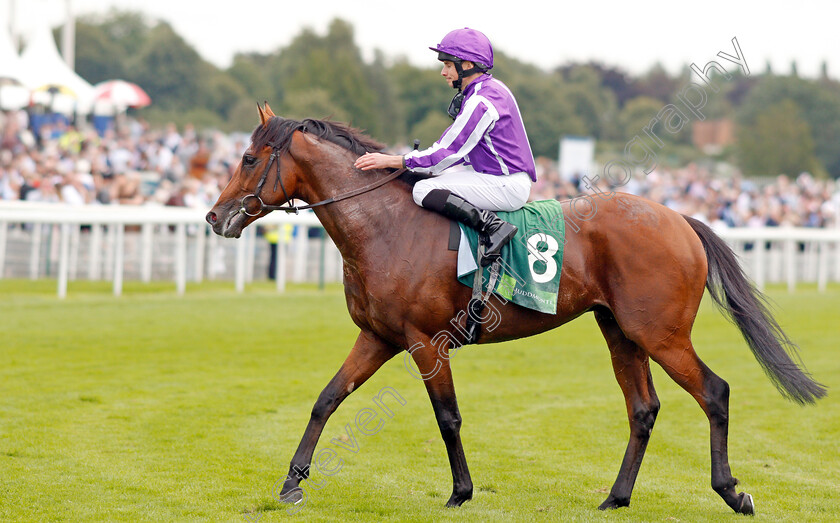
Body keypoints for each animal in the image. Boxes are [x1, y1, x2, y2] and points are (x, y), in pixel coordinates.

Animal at [207, 106, 824, 516]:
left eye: (249, 158)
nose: (215, 217)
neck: (385, 225)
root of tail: (679, 219)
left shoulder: (423, 341)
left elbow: (448, 417)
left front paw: (460, 492)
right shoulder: (377, 337)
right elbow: (326, 399)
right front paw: (292, 483)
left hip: (661, 333)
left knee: (714, 392)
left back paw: (732, 492)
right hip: (621, 332)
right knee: (643, 409)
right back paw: (616, 497)